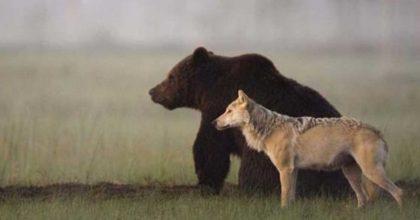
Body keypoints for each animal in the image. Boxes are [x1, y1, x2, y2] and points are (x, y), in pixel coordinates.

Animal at [149, 47, 350, 195]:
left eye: (171, 77)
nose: (152, 91)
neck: (207, 88)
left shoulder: (217, 106)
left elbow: (210, 147)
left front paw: (205, 183)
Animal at [215, 89, 402, 208]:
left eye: (229, 111)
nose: (213, 122)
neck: (269, 128)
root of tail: (376, 130)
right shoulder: (294, 171)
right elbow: (291, 198)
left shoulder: (285, 170)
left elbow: (284, 197)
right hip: (351, 174)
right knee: (364, 199)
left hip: (371, 173)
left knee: (399, 192)